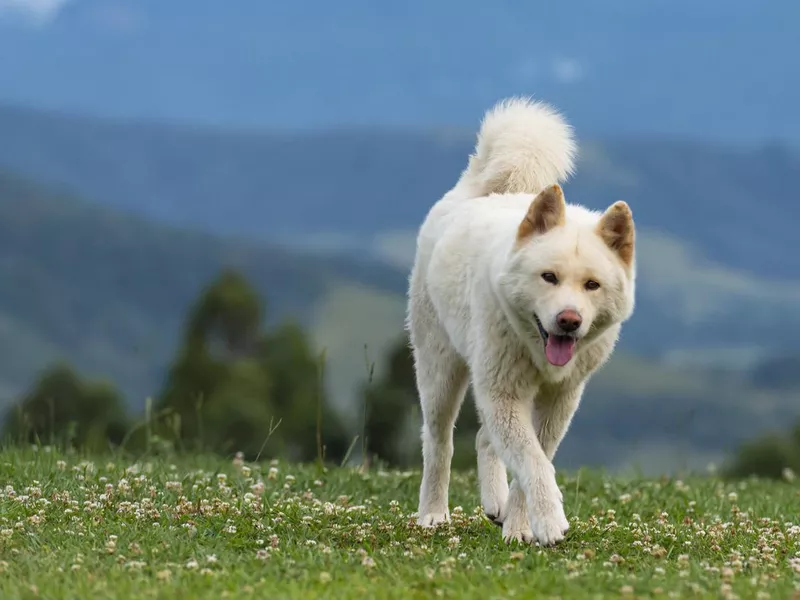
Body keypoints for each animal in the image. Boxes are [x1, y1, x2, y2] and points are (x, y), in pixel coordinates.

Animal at [406, 97, 636, 544]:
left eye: (592, 285)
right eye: (549, 277)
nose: (569, 320)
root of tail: (478, 190)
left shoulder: (560, 399)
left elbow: (533, 459)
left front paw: (518, 525)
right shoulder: (503, 393)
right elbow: (533, 462)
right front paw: (548, 520)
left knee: (483, 438)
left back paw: (495, 506)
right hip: (441, 371)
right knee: (439, 443)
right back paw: (433, 514)